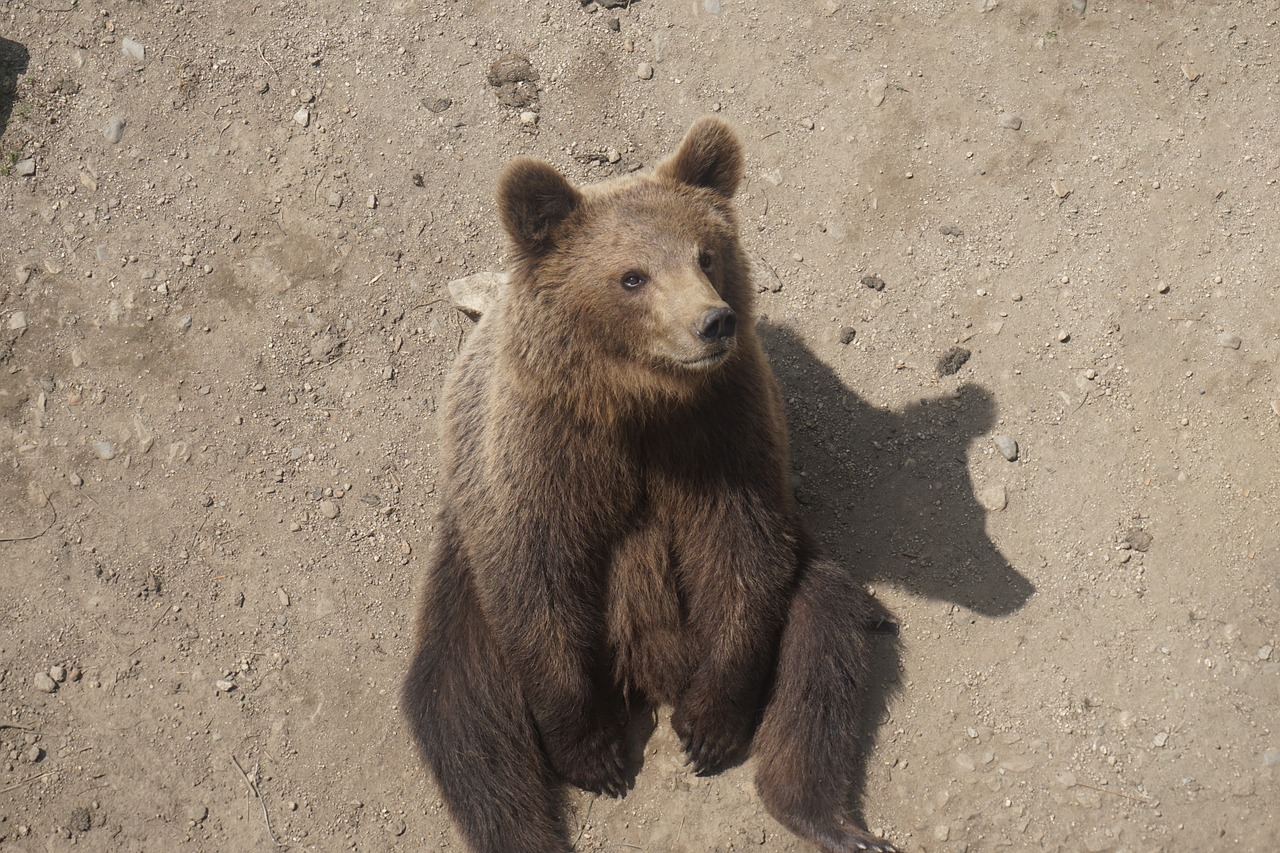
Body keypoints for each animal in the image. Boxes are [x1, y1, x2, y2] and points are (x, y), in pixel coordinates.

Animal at [404, 117, 896, 850]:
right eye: (632, 276)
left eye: (707, 255)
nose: (713, 321)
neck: (635, 401)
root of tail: (647, 666)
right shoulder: (540, 455)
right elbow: (539, 579)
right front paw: (594, 752)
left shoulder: (721, 434)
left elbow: (741, 554)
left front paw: (709, 727)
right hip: (464, 591)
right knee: (463, 713)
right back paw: (527, 827)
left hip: (797, 583)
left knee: (823, 638)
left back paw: (831, 818)